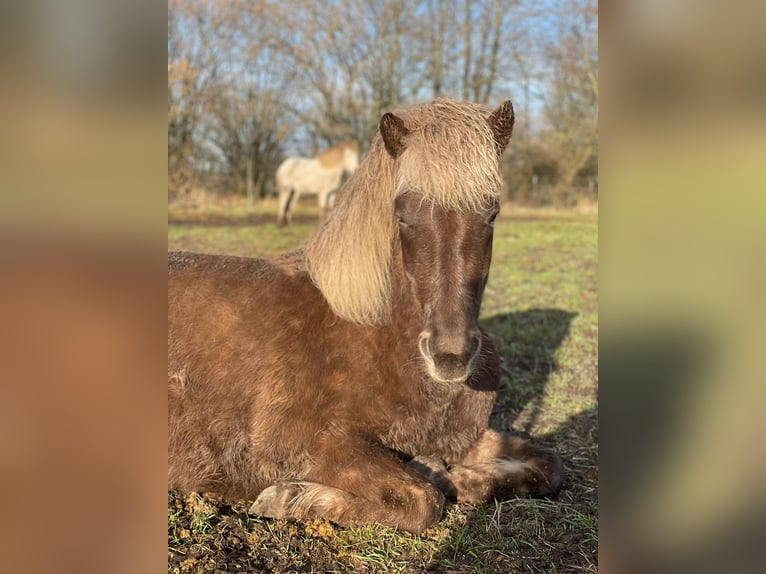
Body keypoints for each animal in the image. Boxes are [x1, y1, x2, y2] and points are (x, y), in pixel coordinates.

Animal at [168, 98, 564, 534]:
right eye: (402, 214)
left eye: (492, 212)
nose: (451, 357)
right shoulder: (307, 446)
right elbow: (422, 499)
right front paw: (290, 499)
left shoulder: (462, 436)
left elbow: (547, 465)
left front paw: (452, 475)